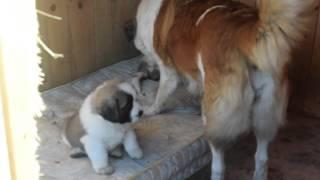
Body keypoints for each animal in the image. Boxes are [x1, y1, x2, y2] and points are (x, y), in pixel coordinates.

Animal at [134, 0, 312, 180]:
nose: (142, 69)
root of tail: (243, 29)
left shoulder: (168, 71)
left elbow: (160, 95)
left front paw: (151, 110)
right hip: (265, 115)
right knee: (261, 158)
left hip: (215, 120)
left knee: (219, 165)